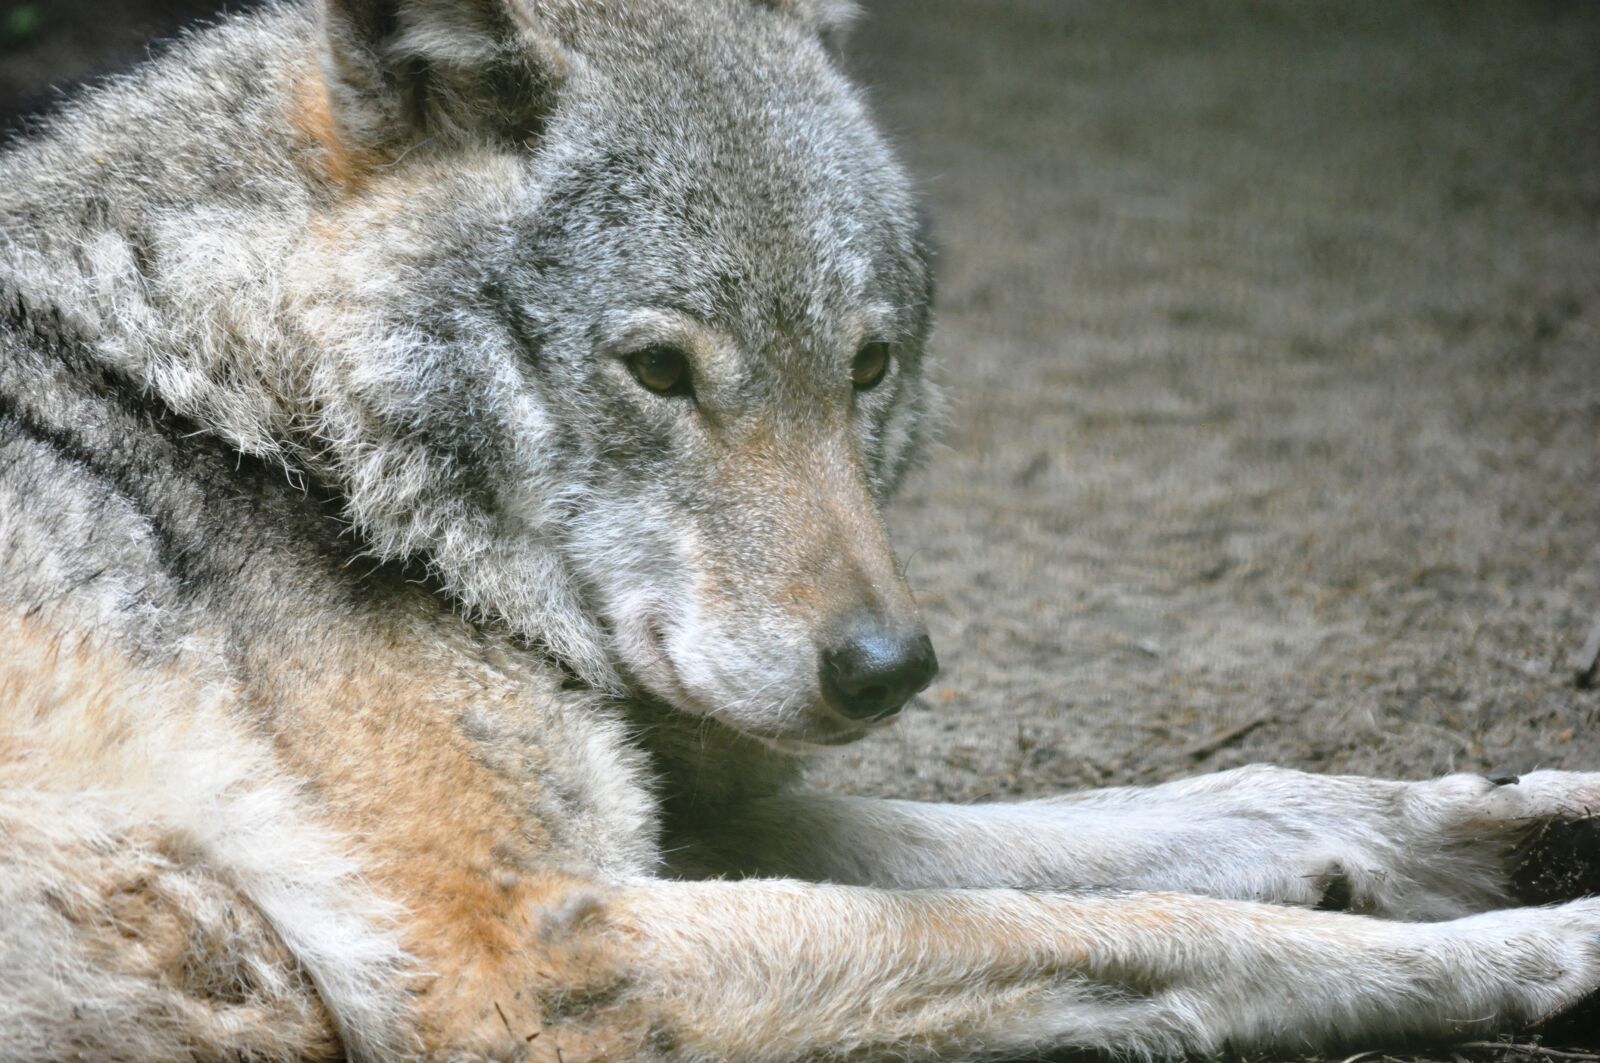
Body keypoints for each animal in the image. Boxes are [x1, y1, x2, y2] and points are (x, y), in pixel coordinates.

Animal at [2, 0, 1600, 1059]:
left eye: (868, 364)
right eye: (659, 369)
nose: (889, 669)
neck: (246, 415)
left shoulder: (703, 820)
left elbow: (1212, 814)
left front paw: (1526, 833)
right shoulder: (529, 959)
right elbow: (1158, 922)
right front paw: (1540, 943)